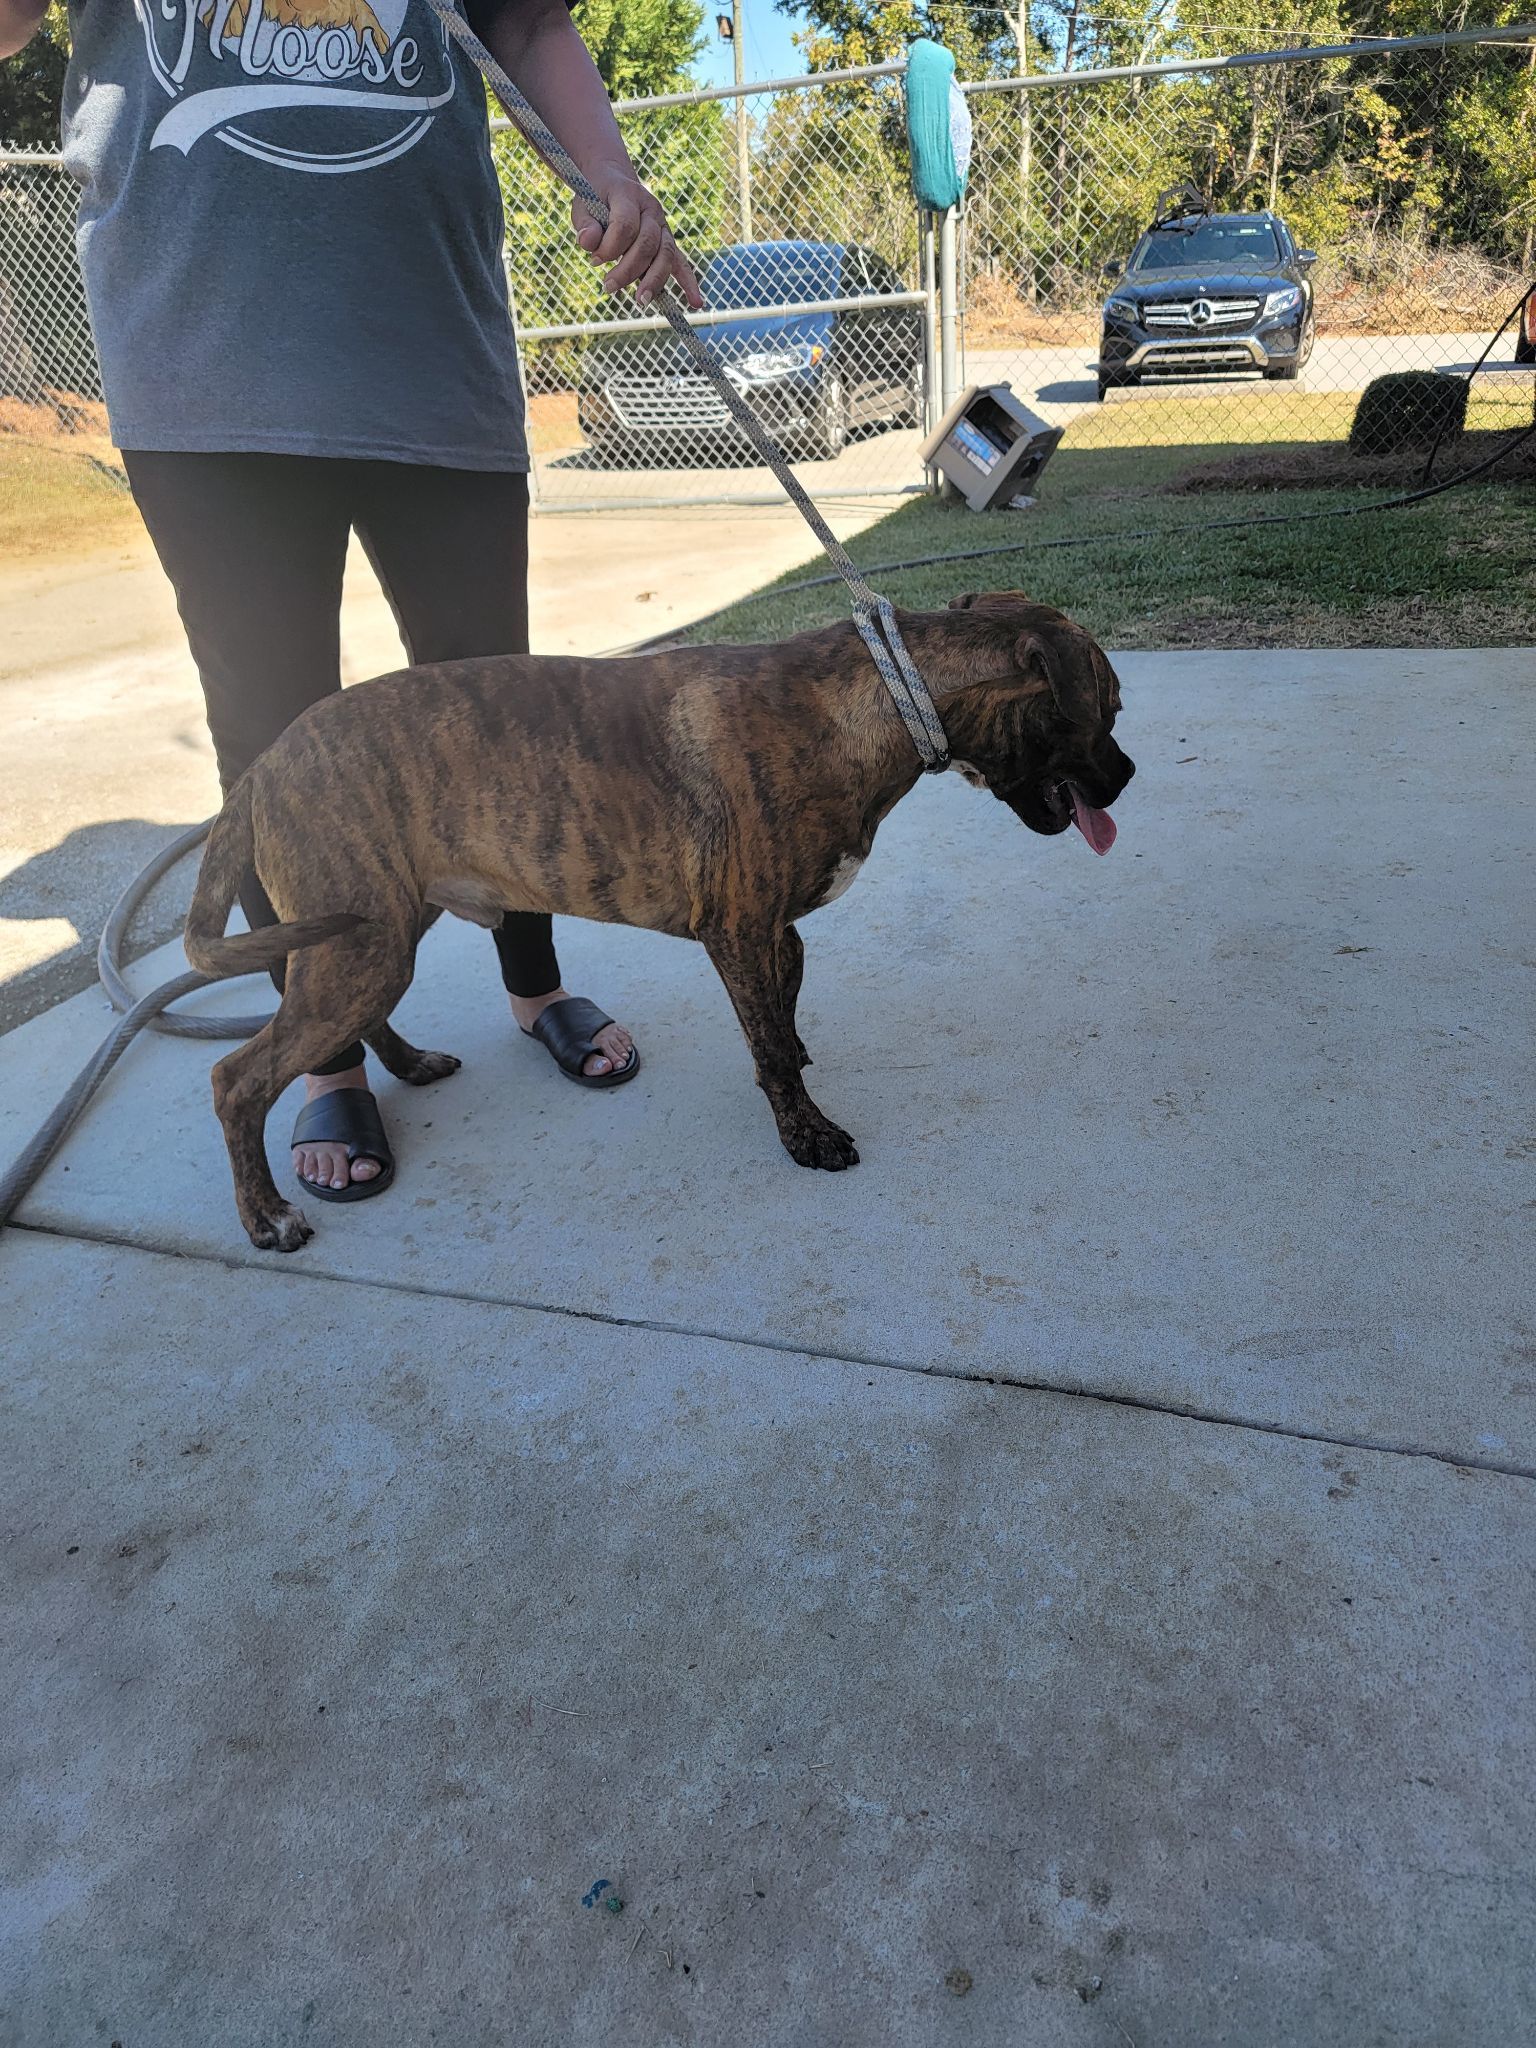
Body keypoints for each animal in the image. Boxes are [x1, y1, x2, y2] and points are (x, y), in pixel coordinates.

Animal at [186, 585, 1138, 1236]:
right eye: (1110, 709)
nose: (1128, 778)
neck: (875, 701)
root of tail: (262, 766)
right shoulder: (741, 932)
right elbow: (770, 1047)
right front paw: (805, 1132)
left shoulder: (775, 930)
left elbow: (782, 1013)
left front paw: (793, 1058)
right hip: (360, 947)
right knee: (237, 1080)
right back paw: (266, 1215)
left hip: (379, 931)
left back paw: (410, 1063)